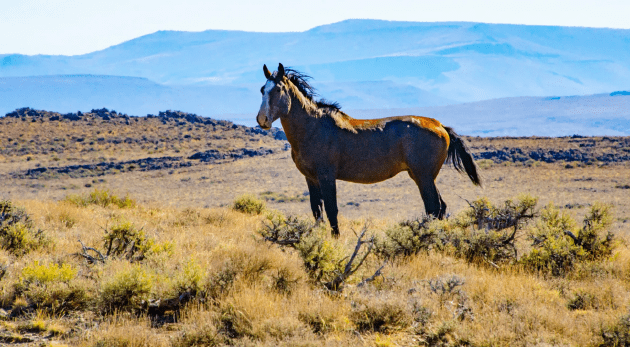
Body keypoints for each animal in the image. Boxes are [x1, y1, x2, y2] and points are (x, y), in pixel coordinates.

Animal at [256, 62, 484, 238]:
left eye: (278, 90)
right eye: (262, 90)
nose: (262, 120)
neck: (313, 127)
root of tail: (440, 126)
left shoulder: (327, 176)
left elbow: (331, 209)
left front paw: (336, 240)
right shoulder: (311, 178)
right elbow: (317, 211)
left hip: (423, 176)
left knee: (433, 207)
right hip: (422, 176)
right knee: (440, 207)